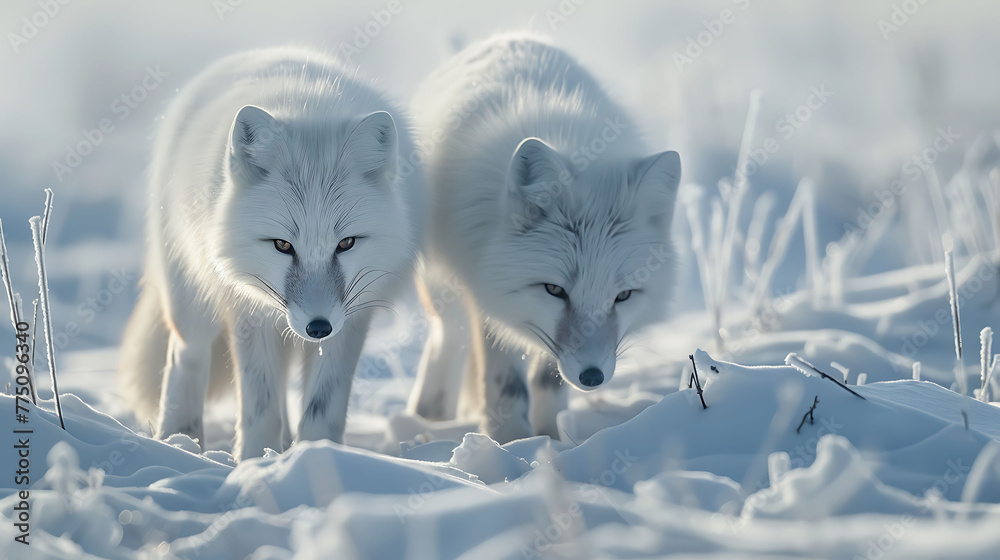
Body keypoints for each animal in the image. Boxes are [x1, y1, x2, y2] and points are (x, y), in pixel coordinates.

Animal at [119, 47, 424, 460]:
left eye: (345, 243)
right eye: (282, 245)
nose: (318, 327)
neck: (310, 104)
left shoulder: (352, 318)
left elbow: (321, 410)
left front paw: (317, 458)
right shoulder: (247, 309)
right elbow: (258, 408)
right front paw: (253, 462)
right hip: (193, 301)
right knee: (185, 359)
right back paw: (179, 443)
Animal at [406, 34, 680, 446]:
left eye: (624, 296)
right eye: (554, 290)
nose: (592, 377)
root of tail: (510, 36)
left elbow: (548, 382)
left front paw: (552, 440)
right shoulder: (488, 293)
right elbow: (505, 384)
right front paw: (511, 444)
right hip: (444, 286)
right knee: (447, 334)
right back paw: (429, 416)